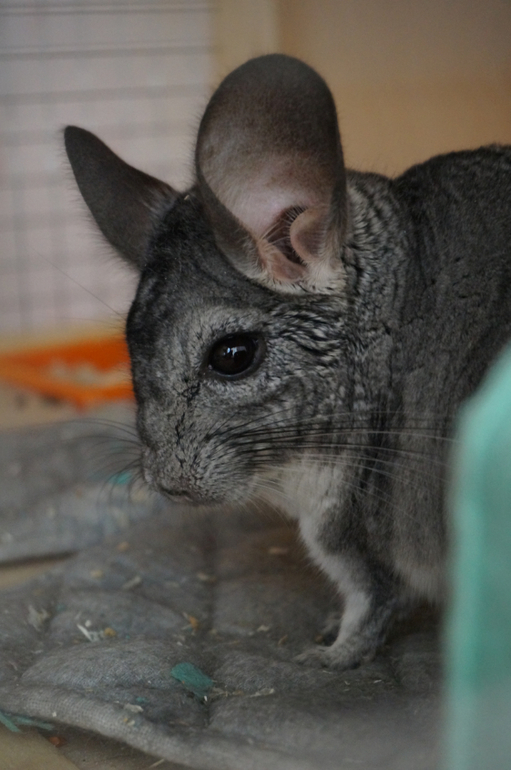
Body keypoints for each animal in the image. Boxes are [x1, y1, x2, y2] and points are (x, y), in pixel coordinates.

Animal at [64, 54, 511, 670]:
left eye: (231, 356)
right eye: (128, 350)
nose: (167, 486)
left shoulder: (351, 534)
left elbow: (371, 606)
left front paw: (324, 658)